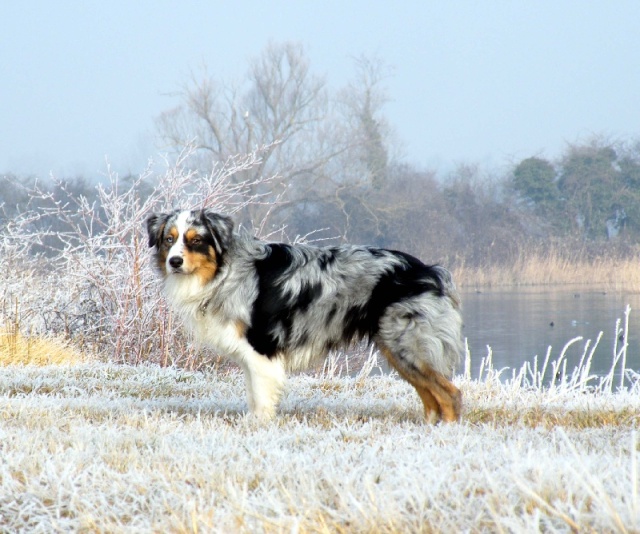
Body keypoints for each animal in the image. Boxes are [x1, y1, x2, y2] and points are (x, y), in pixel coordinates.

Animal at [148, 211, 462, 426]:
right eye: (169, 239)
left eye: (196, 241)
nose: (174, 262)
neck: (224, 271)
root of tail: (431, 272)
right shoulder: (252, 357)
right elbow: (253, 395)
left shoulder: (261, 349)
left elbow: (261, 397)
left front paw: (258, 427)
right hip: (399, 350)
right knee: (430, 394)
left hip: (409, 346)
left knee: (450, 394)